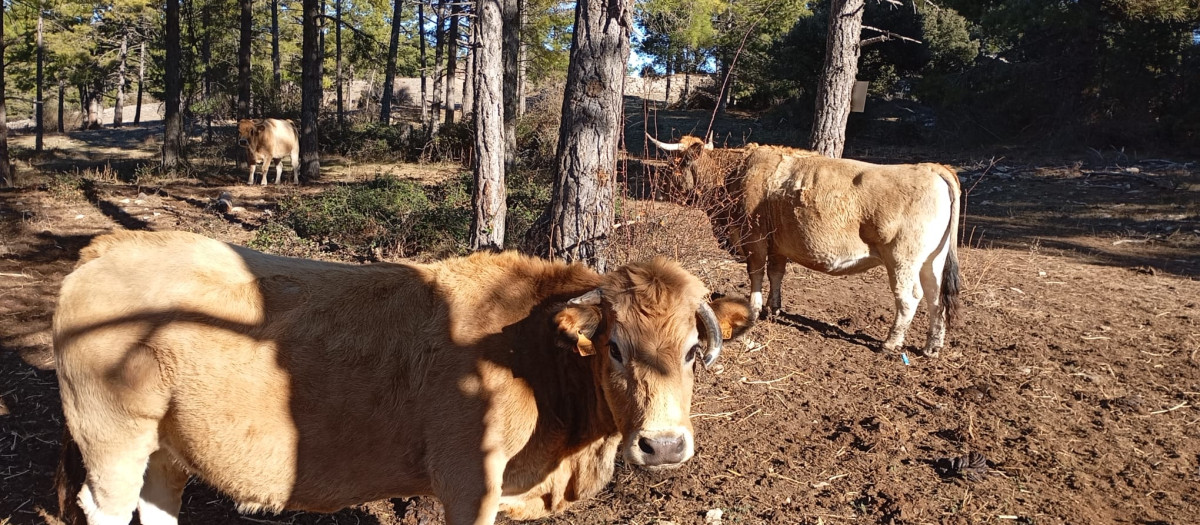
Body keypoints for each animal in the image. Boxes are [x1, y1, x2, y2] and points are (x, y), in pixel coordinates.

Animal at [56, 230, 753, 525]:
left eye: (694, 351)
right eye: (614, 347)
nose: (664, 445)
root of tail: (113, 245)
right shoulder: (470, 480)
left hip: (167, 446)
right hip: (111, 435)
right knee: (108, 506)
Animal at [652, 134, 960, 357]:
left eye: (675, 164)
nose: (660, 187)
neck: (735, 173)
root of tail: (932, 168)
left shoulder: (754, 239)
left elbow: (756, 273)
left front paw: (755, 308)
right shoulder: (777, 244)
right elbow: (776, 274)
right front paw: (774, 308)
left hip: (902, 259)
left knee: (909, 298)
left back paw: (890, 343)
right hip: (932, 261)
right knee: (935, 298)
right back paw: (932, 346)